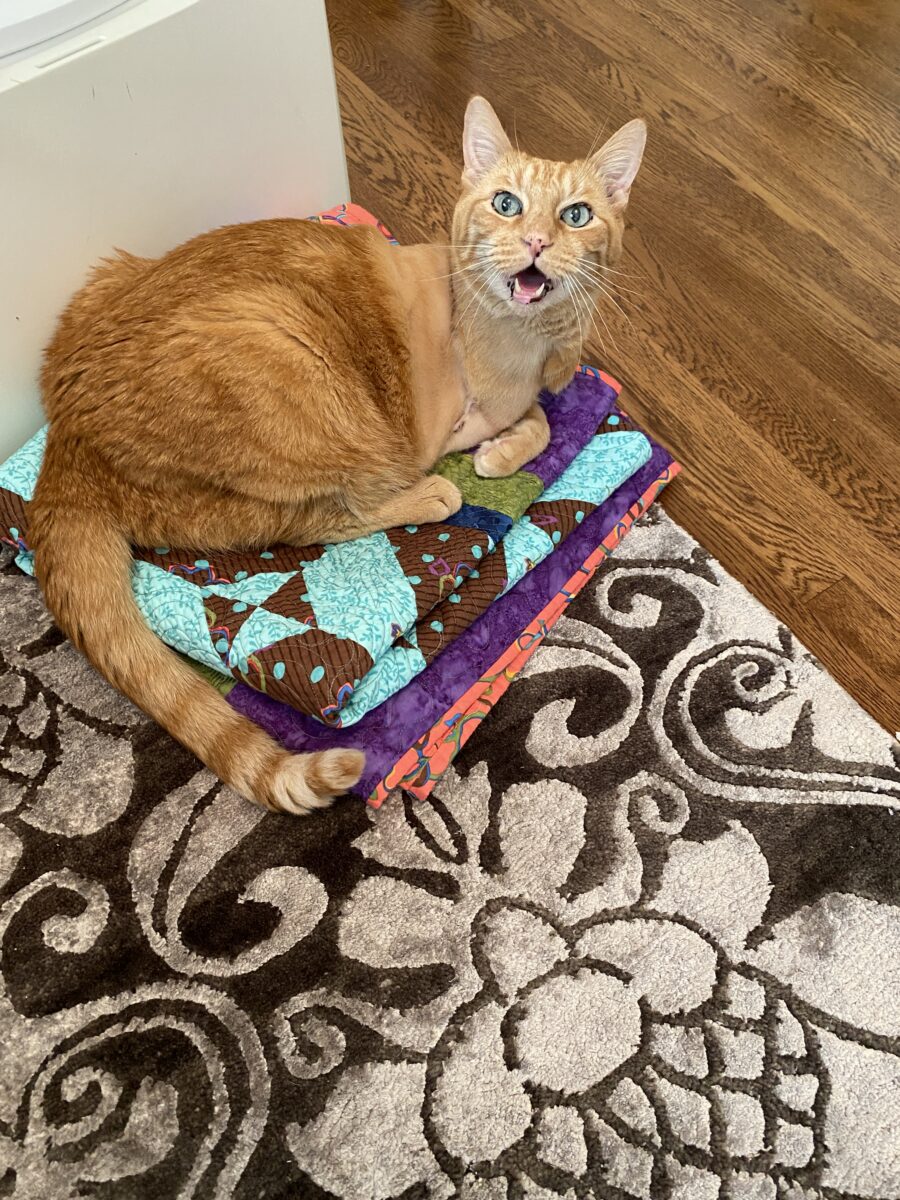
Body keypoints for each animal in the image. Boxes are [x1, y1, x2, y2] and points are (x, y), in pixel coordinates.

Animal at [30, 96, 648, 816]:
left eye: (576, 214)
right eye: (506, 204)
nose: (537, 243)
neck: (520, 340)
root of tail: (65, 438)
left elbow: (542, 419)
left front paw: (511, 442)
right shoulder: (445, 422)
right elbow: (536, 424)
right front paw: (496, 454)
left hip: (109, 276)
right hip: (302, 378)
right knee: (323, 517)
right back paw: (429, 494)